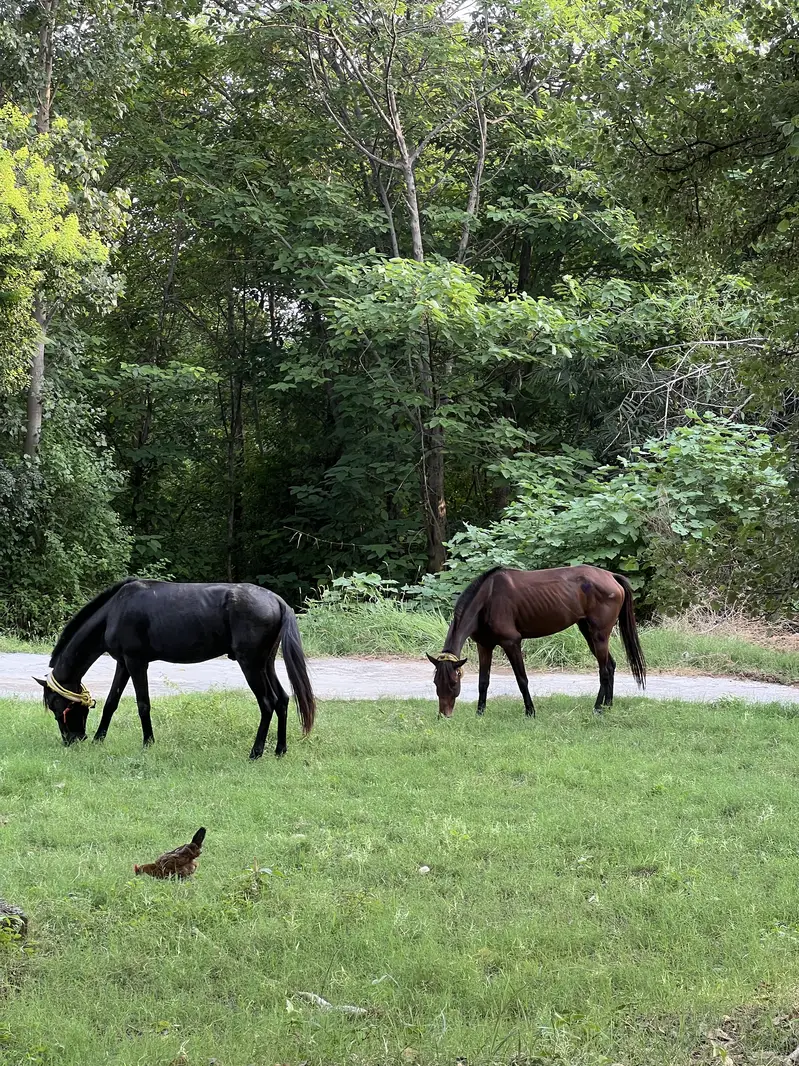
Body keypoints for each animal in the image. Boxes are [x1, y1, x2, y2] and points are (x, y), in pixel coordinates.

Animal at [35, 578, 316, 759]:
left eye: (56, 704)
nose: (72, 740)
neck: (115, 609)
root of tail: (277, 601)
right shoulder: (123, 663)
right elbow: (112, 702)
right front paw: (99, 739)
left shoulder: (136, 662)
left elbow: (143, 704)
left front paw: (148, 742)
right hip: (265, 664)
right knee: (282, 699)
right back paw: (280, 750)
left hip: (251, 664)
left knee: (267, 703)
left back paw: (256, 752)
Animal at [427, 565, 646, 718]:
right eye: (436, 682)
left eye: (454, 683)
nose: (444, 715)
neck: (487, 599)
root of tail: (611, 576)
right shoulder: (485, 645)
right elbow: (483, 681)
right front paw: (480, 713)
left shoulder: (511, 643)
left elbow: (522, 679)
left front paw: (530, 712)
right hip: (588, 631)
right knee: (610, 665)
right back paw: (608, 705)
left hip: (599, 634)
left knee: (604, 670)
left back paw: (598, 708)